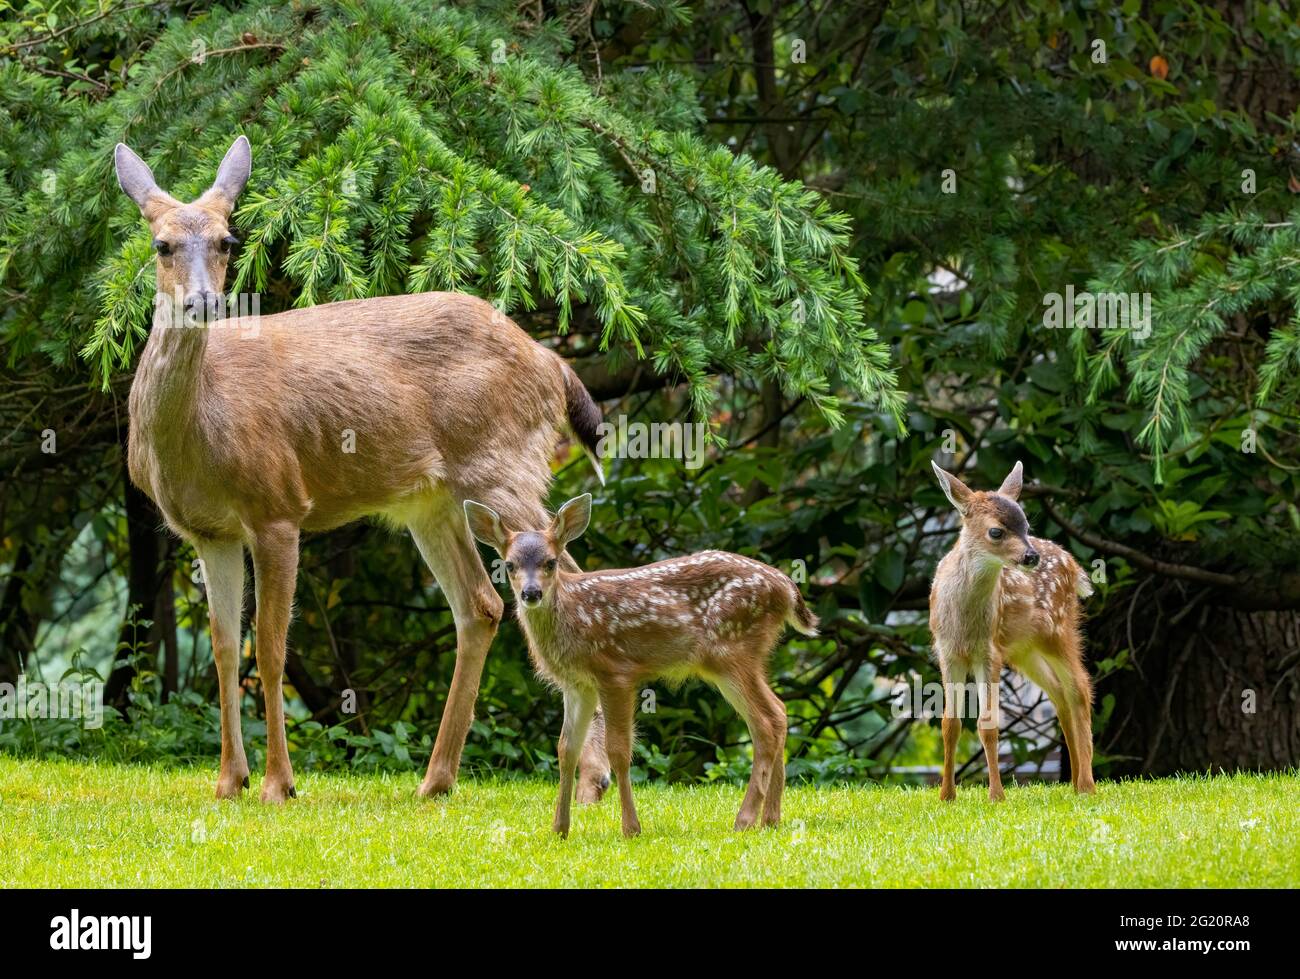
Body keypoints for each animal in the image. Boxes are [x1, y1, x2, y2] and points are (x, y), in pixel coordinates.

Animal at [112, 135, 612, 804]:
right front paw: (227, 781)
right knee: (481, 605)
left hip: (502, 465)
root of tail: (550, 361)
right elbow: (222, 646)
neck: (201, 430)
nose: (204, 301)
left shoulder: (278, 508)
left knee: (565, 573)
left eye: (227, 241)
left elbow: (269, 647)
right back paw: (436, 779)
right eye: (161, 245)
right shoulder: (209, 532)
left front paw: (278, 784)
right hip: (432, 503)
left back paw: (590, 779)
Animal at [463, 493, 818, 838]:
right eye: (509, 565)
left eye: (551, 562)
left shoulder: (615, 672)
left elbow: (618, 750)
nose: (531, 593)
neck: (572, 617)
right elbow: (566, 750)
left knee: (766, 721)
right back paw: (770, 819)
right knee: (780, 712)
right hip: (748, 656)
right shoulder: (577, 685)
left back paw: (744, 820)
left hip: (731, 652)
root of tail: (786, 588)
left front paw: (631, 828)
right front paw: (559, 829)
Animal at [929, 460, 1096, 802]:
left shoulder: (988, 652)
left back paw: (1087, 785)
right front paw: (947, 796)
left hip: (1059, 630)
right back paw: (1073, 782)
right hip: (1024, 650)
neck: (964, 624)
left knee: (1079, 688)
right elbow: (950, 724)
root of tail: (1074, 564)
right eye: (996, 531)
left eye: (1026, 525)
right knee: (1058, 692)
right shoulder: (947, 653)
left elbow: (987, 724)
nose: (1031, 556)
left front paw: (996, 795)